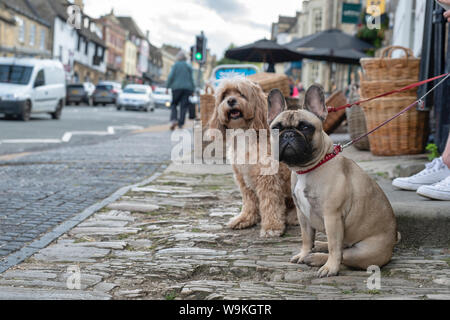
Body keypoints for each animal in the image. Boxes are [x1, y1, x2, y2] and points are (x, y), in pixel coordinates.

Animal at [209, 77, 298, 238]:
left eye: (241, 93)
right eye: (224, 95)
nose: (231, 100)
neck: (245, 133)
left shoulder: (267, 178)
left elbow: (270, 203)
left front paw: (271, 226)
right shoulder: (242, 178)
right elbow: (249, 201)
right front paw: (245, 219)